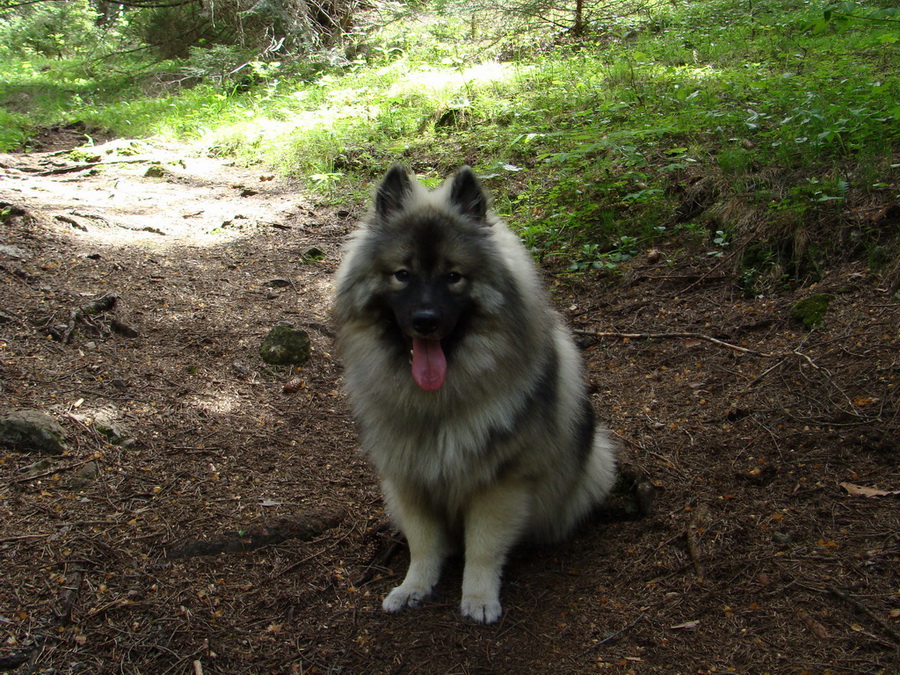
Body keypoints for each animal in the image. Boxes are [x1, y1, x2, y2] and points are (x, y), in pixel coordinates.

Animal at [332, 164, 620, 624]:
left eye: (453, 276)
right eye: (402, 274)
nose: (425, 320)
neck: (437, 403)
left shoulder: (499, 482)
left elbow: (483, 548)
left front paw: (480, 598)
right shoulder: (409, 478)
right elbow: (423, 544)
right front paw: (414, 587)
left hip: (596, 463)